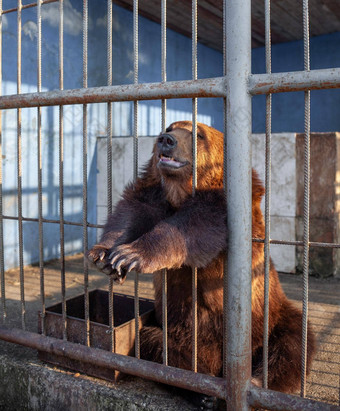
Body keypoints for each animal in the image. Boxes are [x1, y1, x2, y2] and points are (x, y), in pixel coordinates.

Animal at [86, 120, 314, 394]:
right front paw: (105, 255)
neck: (180, 192)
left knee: (292, 344)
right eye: (169, 127)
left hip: (270, 316)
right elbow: (130, 214)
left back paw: (257, 379)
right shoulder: (153, 193)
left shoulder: (223, 204)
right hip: (179, 327)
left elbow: (191, 227)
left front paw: (131, 254)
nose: (166, 140)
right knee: (154, 342)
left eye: (198, 134)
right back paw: (202, 386)